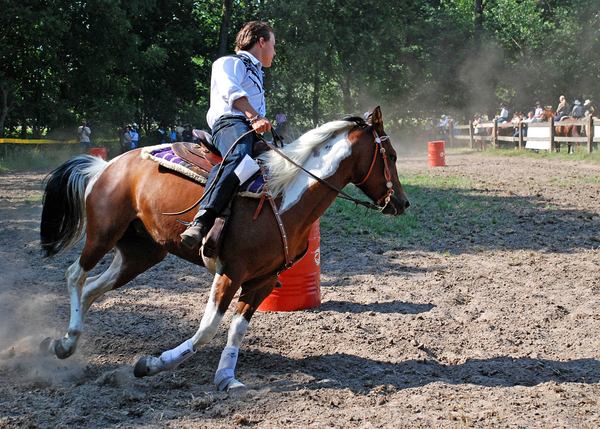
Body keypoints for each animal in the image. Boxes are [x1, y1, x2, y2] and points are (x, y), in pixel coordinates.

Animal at [39, 107, 410, 394]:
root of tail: (106, 166)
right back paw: (68, 339)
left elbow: (237, 330)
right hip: (103, 233)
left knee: (91, 288)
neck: (283, 195)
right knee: (75, 276)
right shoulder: (230, 272)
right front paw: (153, 364)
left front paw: (226, 378)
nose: (403, 204)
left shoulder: (262, 281)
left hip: (141, 253)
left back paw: (67, 344)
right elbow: (207, 330)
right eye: (390, 156)